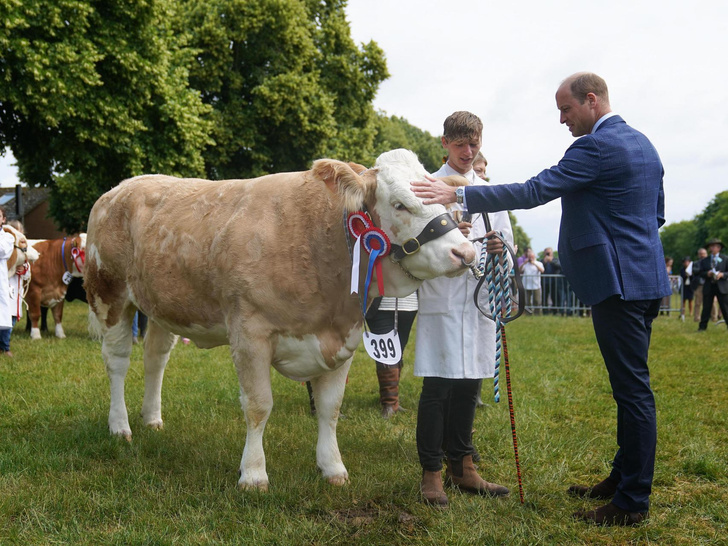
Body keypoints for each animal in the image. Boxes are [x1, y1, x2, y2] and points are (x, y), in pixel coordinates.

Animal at [85, 148, 474, 488]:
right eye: (399, 204)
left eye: (447, 203)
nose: (465, 253)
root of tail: (122, 187)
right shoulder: (249, 333)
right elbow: (259, 406)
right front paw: (254, 474)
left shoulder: (344, 336)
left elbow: (330, 408)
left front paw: (333, 467)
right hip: (110, 295)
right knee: (117, 362)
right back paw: (120, 426)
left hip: (163, 306)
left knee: (155, 359)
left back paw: (152, 419)